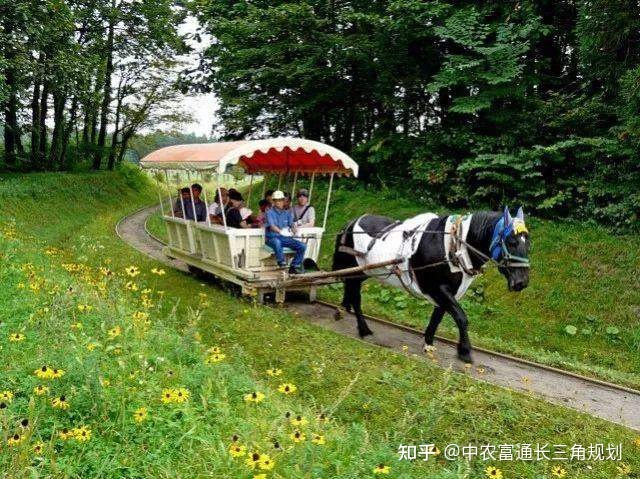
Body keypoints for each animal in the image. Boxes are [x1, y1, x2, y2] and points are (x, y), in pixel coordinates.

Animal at [332, 207, 532, 364]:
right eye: (512, 242)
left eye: (528, 244)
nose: (521, 282)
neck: (454, 247)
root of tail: (351, 222)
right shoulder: (438, 288)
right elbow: (461, 317)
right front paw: (465, 351)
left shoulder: (447, 293)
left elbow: (438, 317)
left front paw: (428, 342)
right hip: (354, 269)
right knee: (356, 297)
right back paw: (363, 329)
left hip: (363, 272)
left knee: (350, 289)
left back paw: (342, 308)